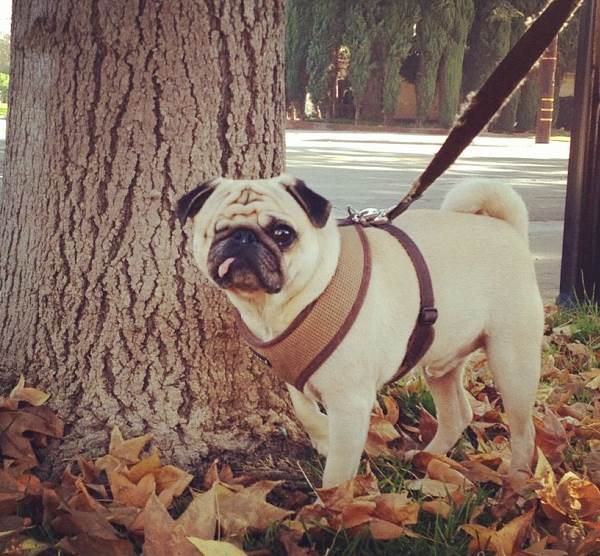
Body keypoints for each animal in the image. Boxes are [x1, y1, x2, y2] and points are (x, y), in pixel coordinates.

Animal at [175, 175, 544, 486]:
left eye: (283, 234)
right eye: (215, 231)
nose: (242, 237)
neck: (273, 310)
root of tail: (507, 228)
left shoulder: (350, 401)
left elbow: (339, 468)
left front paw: (330, 508)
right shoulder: (293, 373)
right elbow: (304, 409)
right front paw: (323, 435)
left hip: (512, 363)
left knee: (523, 431)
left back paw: (518, 483)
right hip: (440, 364)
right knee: (457, 414)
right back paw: (427, 458)